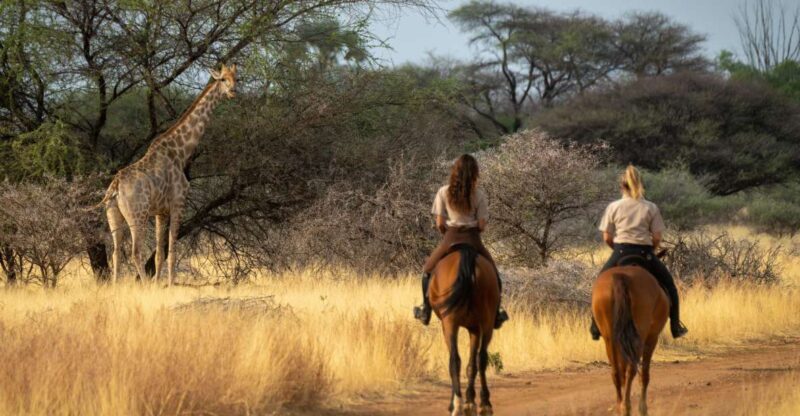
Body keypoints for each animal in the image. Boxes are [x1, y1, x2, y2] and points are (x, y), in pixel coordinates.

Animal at [429, 243, 499, 416]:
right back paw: (482, 404)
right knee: (480, 358)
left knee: (456, 360)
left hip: (450, 323)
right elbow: (471, 365)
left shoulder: (459, 326)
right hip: (486, 323)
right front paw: (470, 401)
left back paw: (459, 405)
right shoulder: (474, 328)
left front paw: (466, 401)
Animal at [591, 265, 669, 416]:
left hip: (610, 339)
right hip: (638, 338)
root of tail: (621, 276)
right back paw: (627, 408)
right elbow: (644, 375)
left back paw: (620, 407)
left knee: (617, 373)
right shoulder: (651, 339)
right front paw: (643, 408)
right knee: (632, 371)